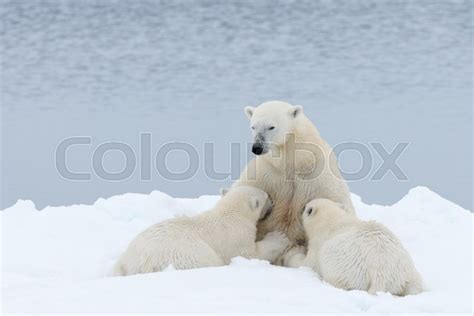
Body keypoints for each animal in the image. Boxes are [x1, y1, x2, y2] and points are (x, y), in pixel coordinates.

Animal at [113, 186, 290, 276]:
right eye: (267, 196)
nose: (273, 201)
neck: (230, 212)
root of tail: (128, 262)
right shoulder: (236, 234)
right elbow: (250, 253)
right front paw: (279, 237)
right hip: (183, 254)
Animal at [235, 100, 354, 243]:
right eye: (253, 127)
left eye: (271, 127)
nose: (257, 147)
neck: (294, 162)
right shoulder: (265, 172)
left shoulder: (318, 173)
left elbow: (336, 200)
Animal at [284, 199, 424, 296]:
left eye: (306, 207)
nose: (302, 207)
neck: (333, 220)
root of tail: (381, 275)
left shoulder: (319, 243)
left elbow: (307, 264)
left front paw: (293, 252)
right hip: (408, 273)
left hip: (346, 267)